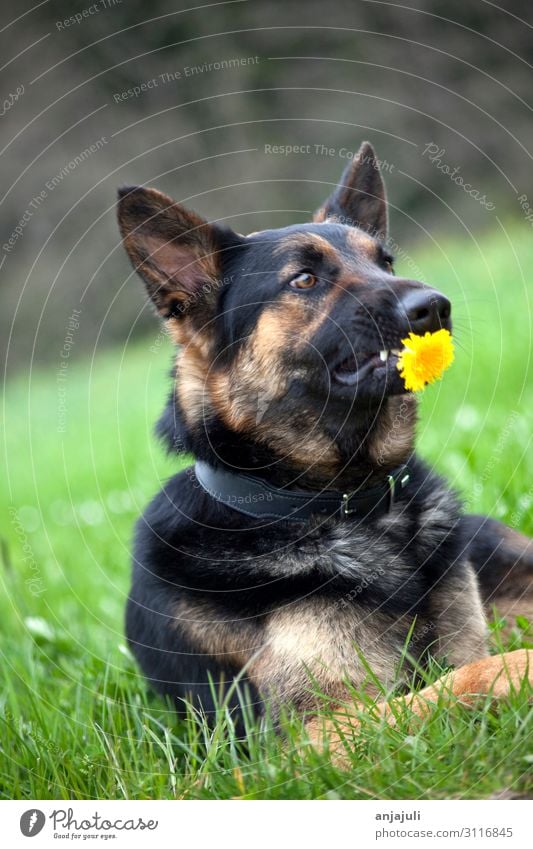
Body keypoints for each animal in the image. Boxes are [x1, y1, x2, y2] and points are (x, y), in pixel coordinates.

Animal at [117, 141, 532, 756]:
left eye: (385, 262)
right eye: (305, 279)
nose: (435, 306)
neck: (354, 509)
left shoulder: (463, 639)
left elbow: (469, 664)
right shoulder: (315, 736)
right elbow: (471, 676)